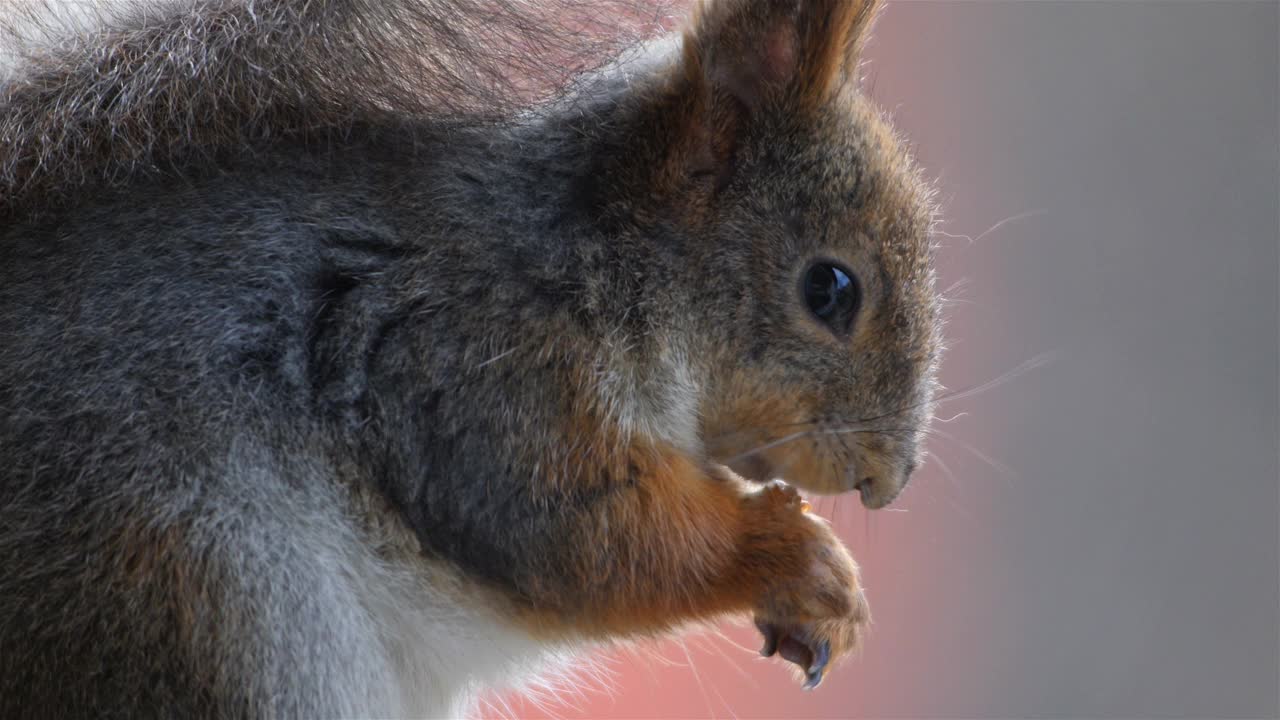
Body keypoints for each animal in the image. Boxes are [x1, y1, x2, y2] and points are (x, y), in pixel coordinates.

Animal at [0, 0, 942, 712]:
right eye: (830, 289)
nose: (886, 482)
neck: (588, 250)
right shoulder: (473, 362)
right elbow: (581, 533)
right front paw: (796, 557)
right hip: (192, 601)